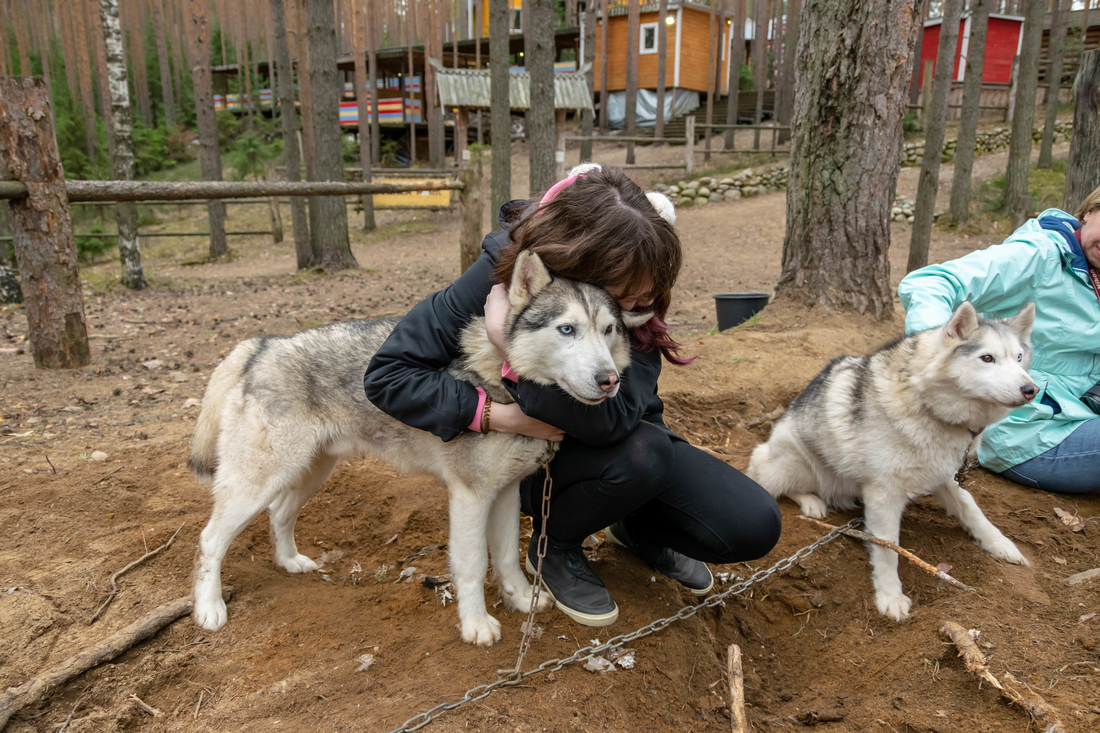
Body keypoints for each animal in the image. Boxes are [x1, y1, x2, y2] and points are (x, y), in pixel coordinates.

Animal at [189, 253, 651, 647]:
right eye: (567, 329)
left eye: (608, 330)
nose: (609, 380)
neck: (505, 380)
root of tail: (262, 344)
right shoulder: (470, 496)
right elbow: (472, 564)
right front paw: (476, 625)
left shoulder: (505, 492)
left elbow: (505, 556)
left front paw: (521, 600)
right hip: (260, 483)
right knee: (210, 538)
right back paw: (209, 608)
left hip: (308, 473)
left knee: (279, 514)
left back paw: (290, 562)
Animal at [748, 299, 1038, 620]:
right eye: (987, 358)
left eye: (1019, 358)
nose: (1031, 390)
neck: (927, 405)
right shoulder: (883, 494)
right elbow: (888, 548)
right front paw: (890, 596)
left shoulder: (944, 475)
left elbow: (971, 509)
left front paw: (1000, 545)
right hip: (796, 462)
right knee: (768, 477)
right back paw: (812, 502)